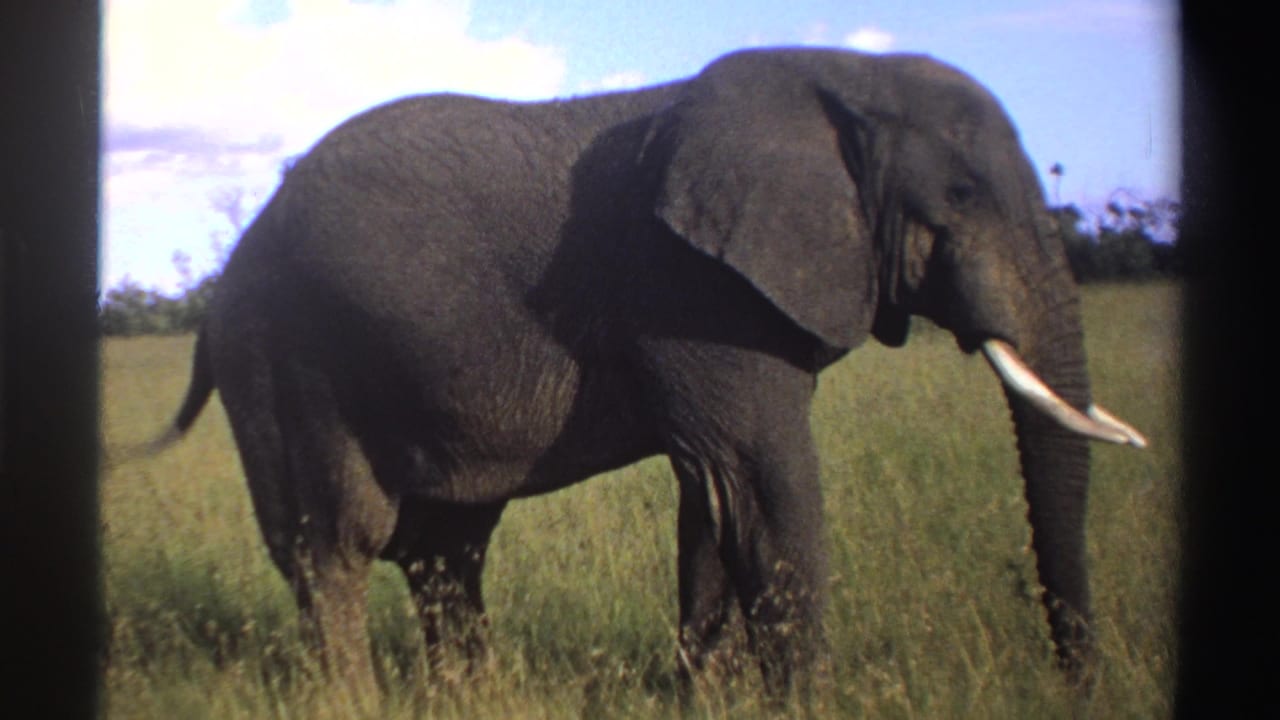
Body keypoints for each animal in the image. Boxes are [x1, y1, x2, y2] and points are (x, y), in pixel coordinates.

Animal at [156, 47, 1146, 699]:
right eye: (961, 198)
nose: (1078, 687)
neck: (839, 76)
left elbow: (716, 498)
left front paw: (702, 701)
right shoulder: (690, 284)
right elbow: (763, 484)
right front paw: (803, 704)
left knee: (447, 549)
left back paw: (472, 698)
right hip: (287, 357)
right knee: (336, 544)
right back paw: (351, 698)